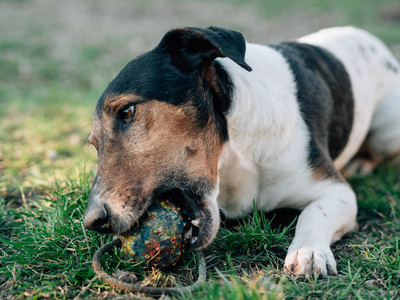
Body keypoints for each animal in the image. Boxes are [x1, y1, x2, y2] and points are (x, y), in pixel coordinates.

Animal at [83, 26, 400, 276]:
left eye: (127, 112)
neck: (235, 154)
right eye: (94, 144)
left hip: (387, 130)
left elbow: (314, 212)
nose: (92, 221)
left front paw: (308, 251)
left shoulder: (337, 191)